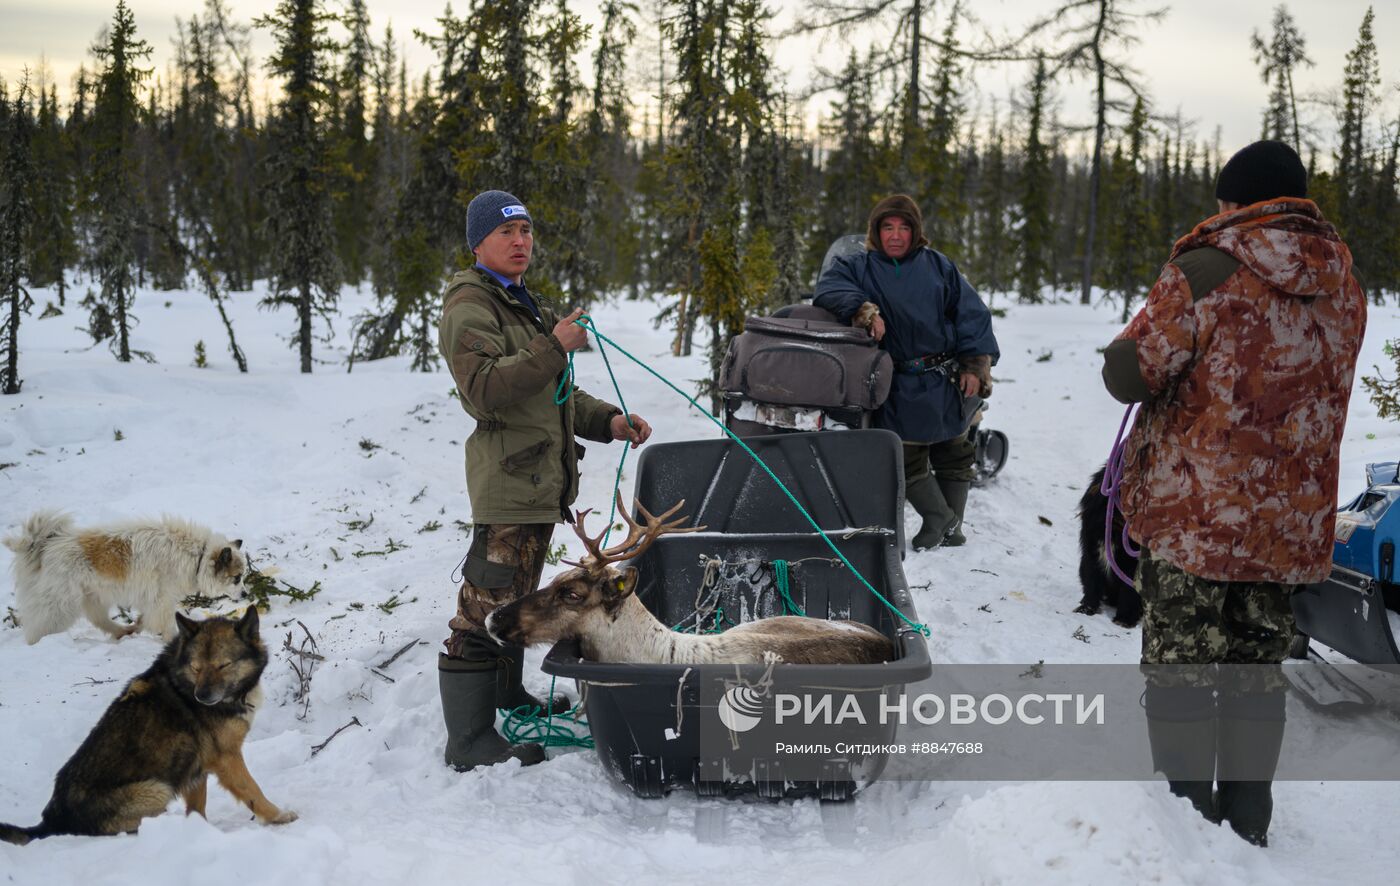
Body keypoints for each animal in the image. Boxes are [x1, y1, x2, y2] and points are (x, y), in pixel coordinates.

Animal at [0, 607, 295, 845]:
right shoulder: (227, 758)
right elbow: (252, 791)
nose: (201, 697)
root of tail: (51, 820)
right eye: (196, 667)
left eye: (223, 665)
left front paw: (197, 831)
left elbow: (197, 808)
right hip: (156, 789)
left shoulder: (196, 766)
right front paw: (278, 815)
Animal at [2, 512, 246, 643]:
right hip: (59, 605)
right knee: (39, 629)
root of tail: (45, 547)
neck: (197, 555)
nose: (245, 594)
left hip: (92, 598)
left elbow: (146, 619)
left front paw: (138, 626)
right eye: (237, 578)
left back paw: (123, 631)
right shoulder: (162, 601)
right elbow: (166, 624)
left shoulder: (153, 602)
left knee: (100, 621)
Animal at [1075, 461, 1142, 629]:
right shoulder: (1092, 552)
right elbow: (1091, 582)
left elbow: (1128, 593)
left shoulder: (1133, 566)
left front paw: (1124, 619)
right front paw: (1086, 608)